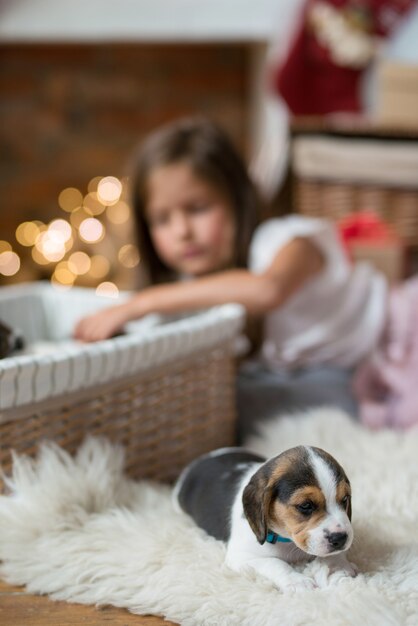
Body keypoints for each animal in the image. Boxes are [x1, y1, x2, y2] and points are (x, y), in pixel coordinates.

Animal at [172, 444, 356, 588]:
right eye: (305, 506)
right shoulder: (241, 557)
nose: (340, 538)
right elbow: (274, 562)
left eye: (345, 499)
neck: (287, 540)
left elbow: (335, 556)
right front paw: (297, 581)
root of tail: (200, 459)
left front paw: (338, 569)